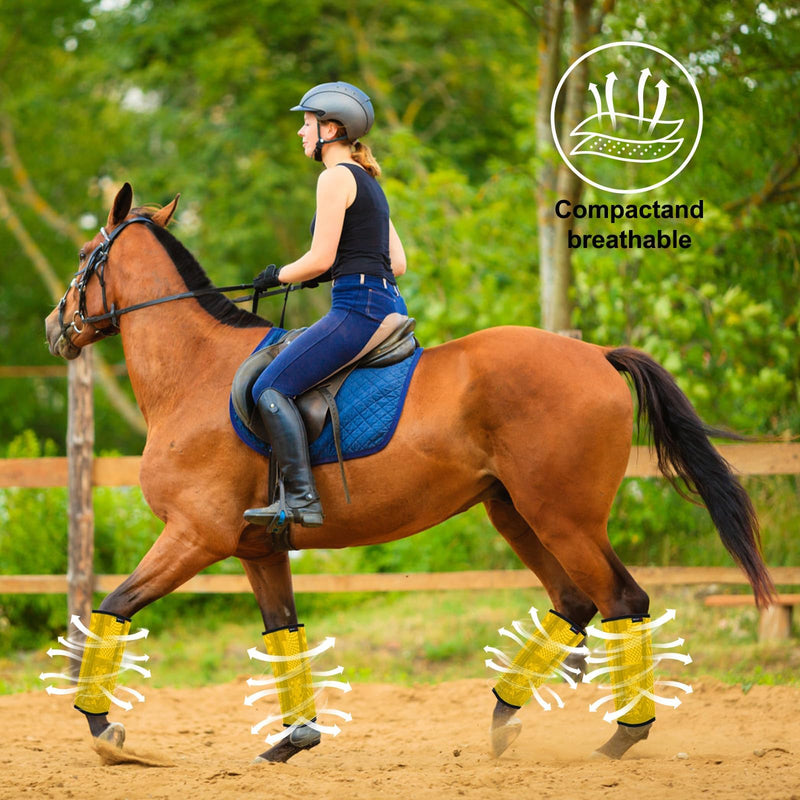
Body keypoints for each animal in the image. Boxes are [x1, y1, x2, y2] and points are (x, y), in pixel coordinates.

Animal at [45, 183, 774, 764]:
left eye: (84, 255)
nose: (56, 326)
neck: (195, 373)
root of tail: (595, 354)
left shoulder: (196, 535)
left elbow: (112, 608)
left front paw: (104, 730)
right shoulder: (258, 549)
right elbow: (284, 635)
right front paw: (295, 740)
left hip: (563, 517)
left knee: (623, 601)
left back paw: (621, 737)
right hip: (515, 512)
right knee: (574, 603)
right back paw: (505, 718)